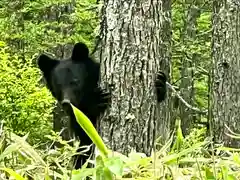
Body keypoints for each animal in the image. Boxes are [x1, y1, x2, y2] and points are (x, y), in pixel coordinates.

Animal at [37, 41, 168, 169]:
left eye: (75, 81)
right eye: (57, 85)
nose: (66, 103)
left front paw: (160, 82)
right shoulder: (77, 118)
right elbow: (86, 128)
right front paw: (98, 100)